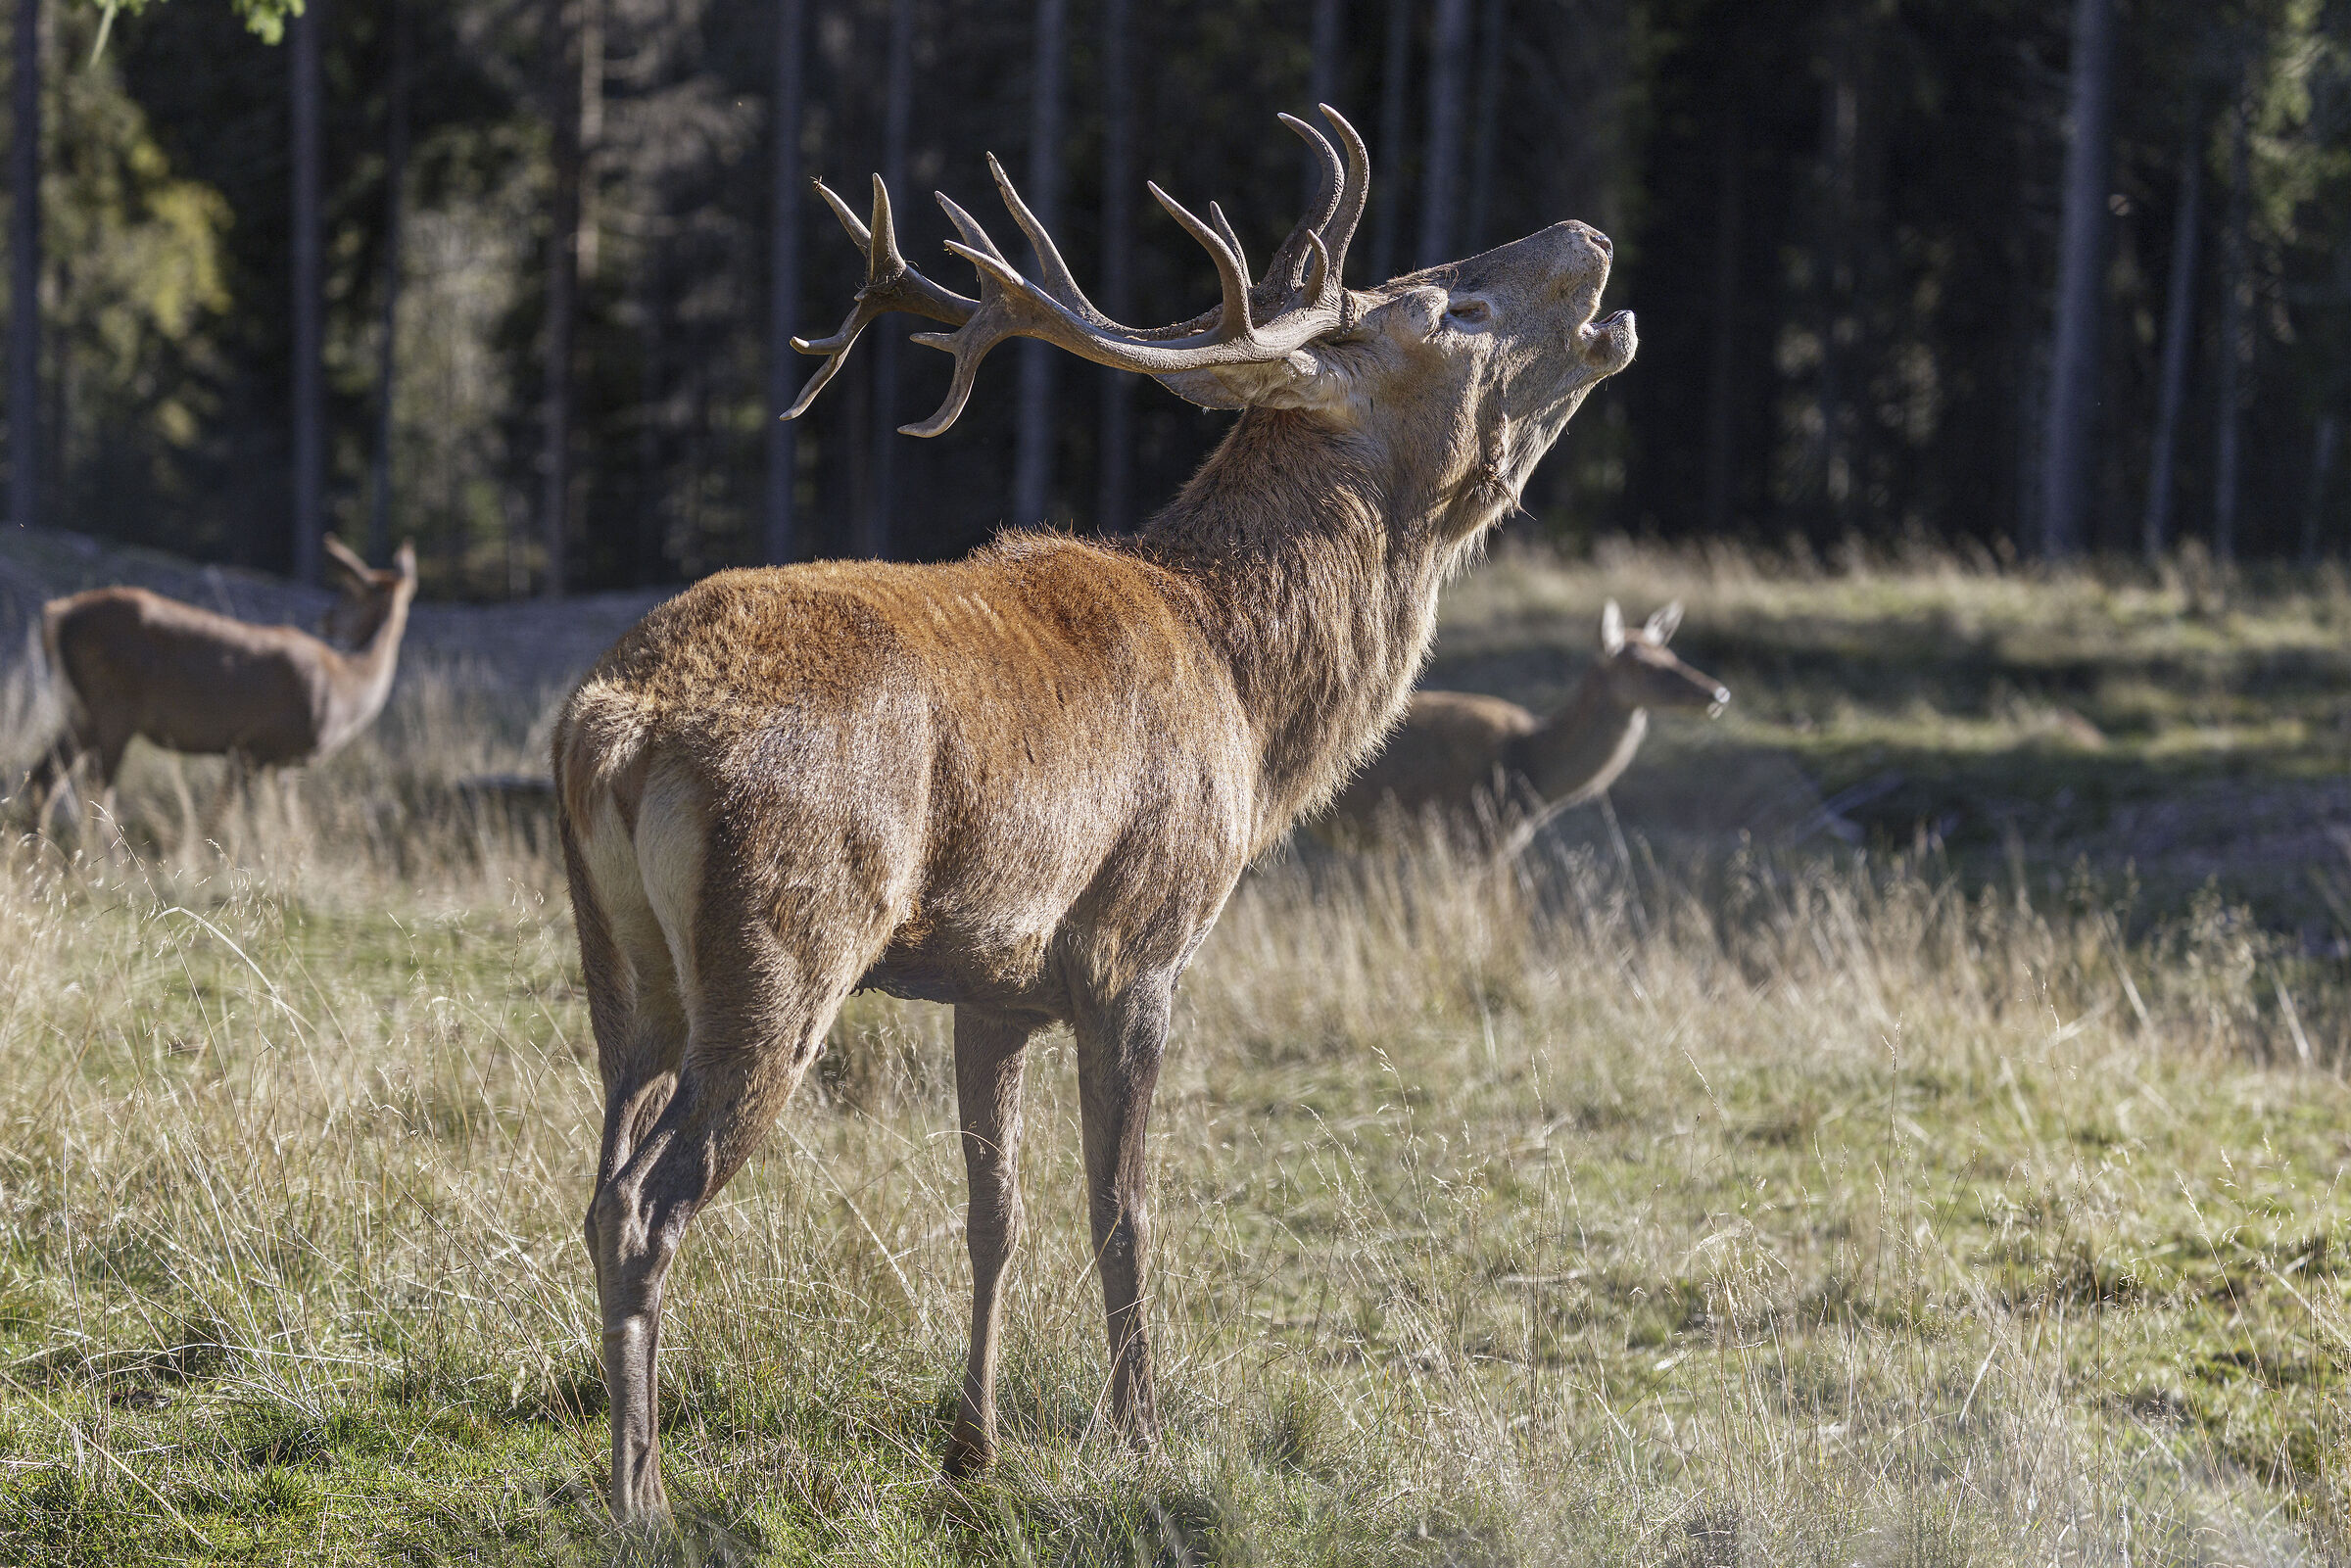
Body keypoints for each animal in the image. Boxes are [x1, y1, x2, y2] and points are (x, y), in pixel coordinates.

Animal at [16, 534, 417, 828]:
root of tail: (57, 615)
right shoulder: (253, 744)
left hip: (82, 711)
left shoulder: (278, 760)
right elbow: (223, 816)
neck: (346, 688)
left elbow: (288, 824)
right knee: (97, 792)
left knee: (44, 779)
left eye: (348, 593)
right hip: (113, 706)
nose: (328, 618)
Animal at [551, 104, 1636, 1521]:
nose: (1592, 237)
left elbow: (992, 1212)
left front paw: (972, 1445)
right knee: (649, 1203)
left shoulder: (991, 981)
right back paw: (643, 1495)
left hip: (622, 968)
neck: (1249, 702)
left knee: (598, 1184)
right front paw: (1141, 1436)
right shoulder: (1139, 946)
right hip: (779, 944)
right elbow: (1123, 1210)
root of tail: (616, 726)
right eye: (1451, 306)